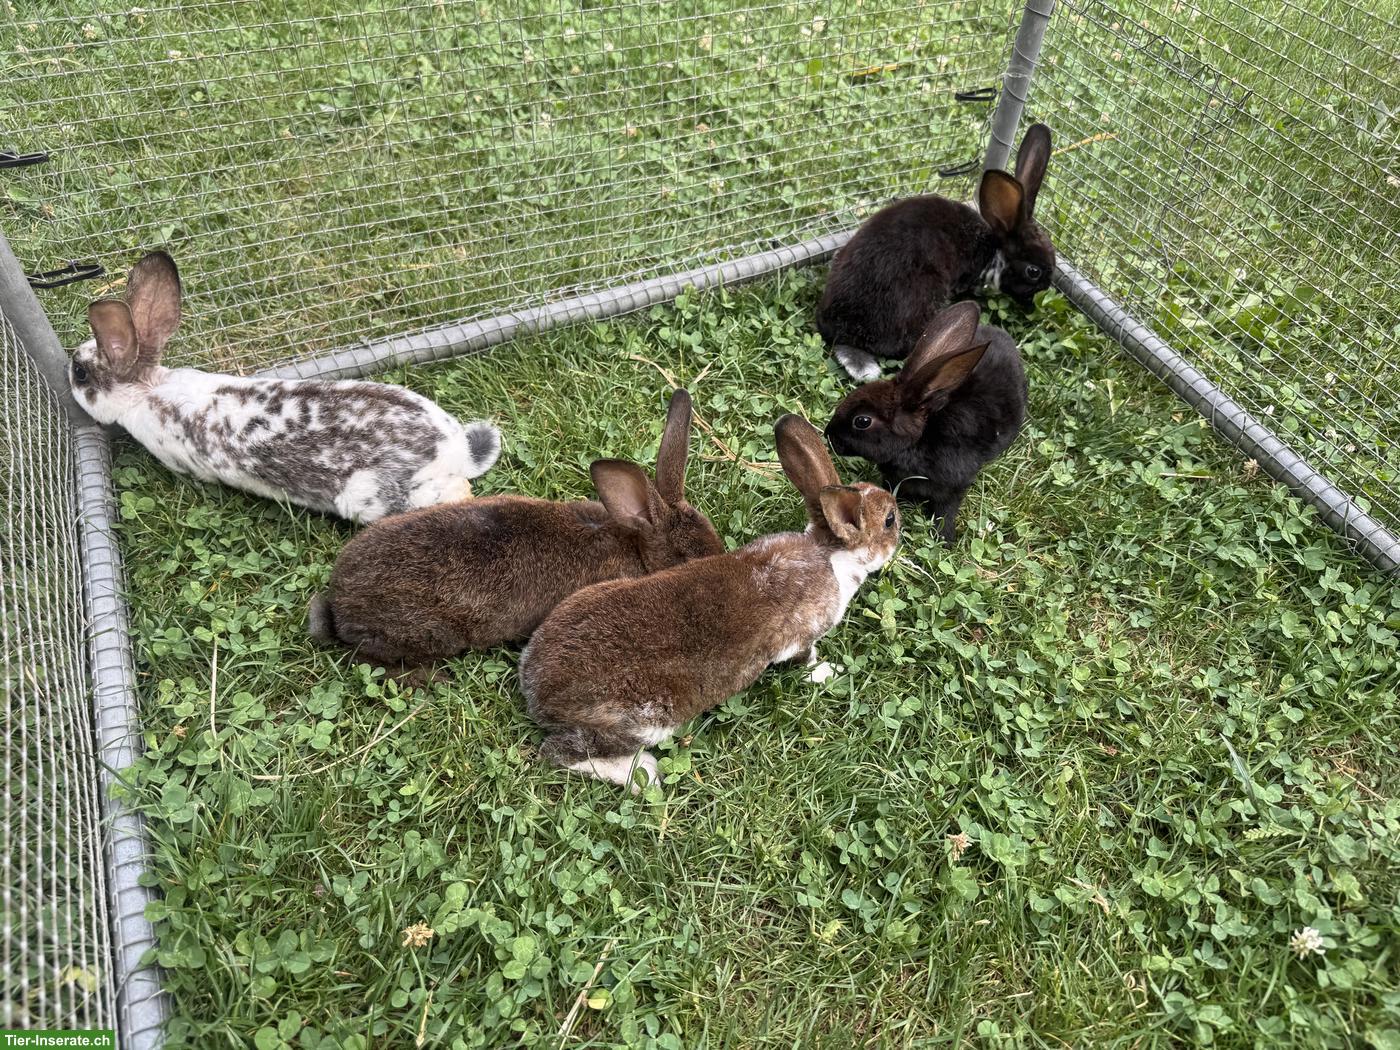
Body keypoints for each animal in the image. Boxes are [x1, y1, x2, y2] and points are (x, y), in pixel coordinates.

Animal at [518, 413, 900, 791]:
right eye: (889, 520)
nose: (901, 525)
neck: (830, 555)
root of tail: (537, 691)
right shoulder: (800, 637)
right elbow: (806, 660)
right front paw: (829, 672)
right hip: (646, 719)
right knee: (560, 752)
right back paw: (643, 775)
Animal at [824, 300, 1026, 544]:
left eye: (862, 421)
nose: (828, 435)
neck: (918, 440)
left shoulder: (953, 488)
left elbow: (945, 512)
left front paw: (944, 540)